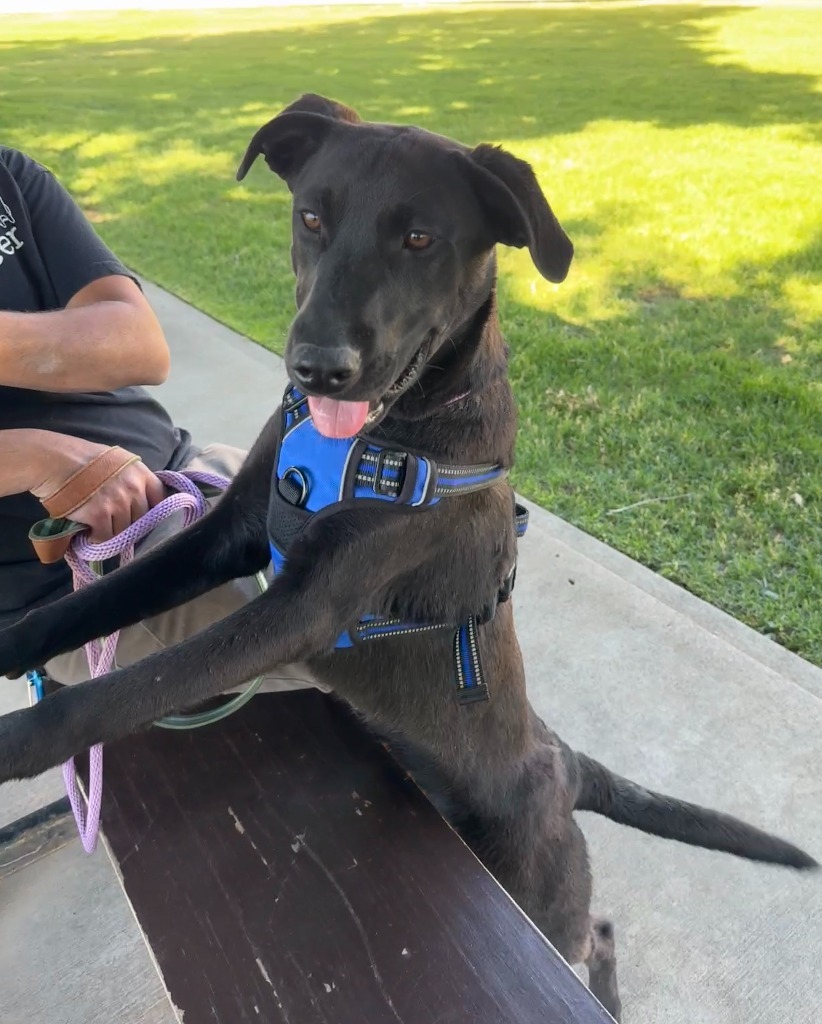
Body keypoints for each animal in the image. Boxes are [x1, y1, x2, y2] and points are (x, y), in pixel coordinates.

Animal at [0, 94, 814, 1015]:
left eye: (420, 239)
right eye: (312, 217)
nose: (317, 367)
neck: (381, 436)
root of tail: (566, 764)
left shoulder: (305, 606)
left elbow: (128, 689)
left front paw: (12, 742)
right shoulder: (227, 532)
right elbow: (92, 600)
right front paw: (12, 640)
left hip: (535, 882)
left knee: (596, 931)